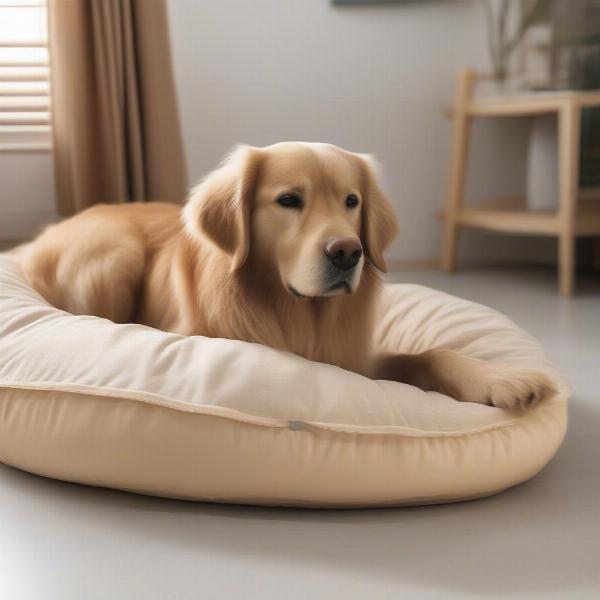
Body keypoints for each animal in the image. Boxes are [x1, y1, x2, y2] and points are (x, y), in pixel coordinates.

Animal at [21, 143, 556, 410]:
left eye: (351, 201)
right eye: (288, 200)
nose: (348, 252)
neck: (299, 313)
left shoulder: (358, 359)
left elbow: (432, 353)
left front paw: (499, 378)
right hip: (118, 253)